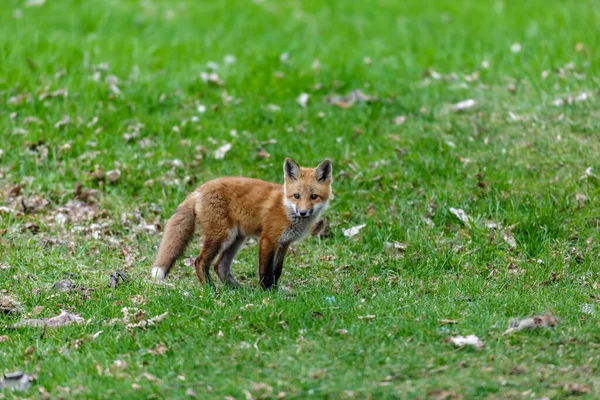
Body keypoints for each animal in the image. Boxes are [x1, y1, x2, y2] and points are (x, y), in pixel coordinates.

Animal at [151, 158, 332, 290]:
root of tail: (198, 190)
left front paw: (274, 291)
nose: (303, 212)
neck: (286, 209)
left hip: (236, 239)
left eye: (314, 197)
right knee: (200, 262)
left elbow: (277, 271)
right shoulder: (267, 239)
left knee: (220, 266)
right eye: (296, 196)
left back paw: (237, 290)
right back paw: (211, 290)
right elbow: (265, 271)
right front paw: (266, 293)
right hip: (221, 236)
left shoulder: (284, 244)